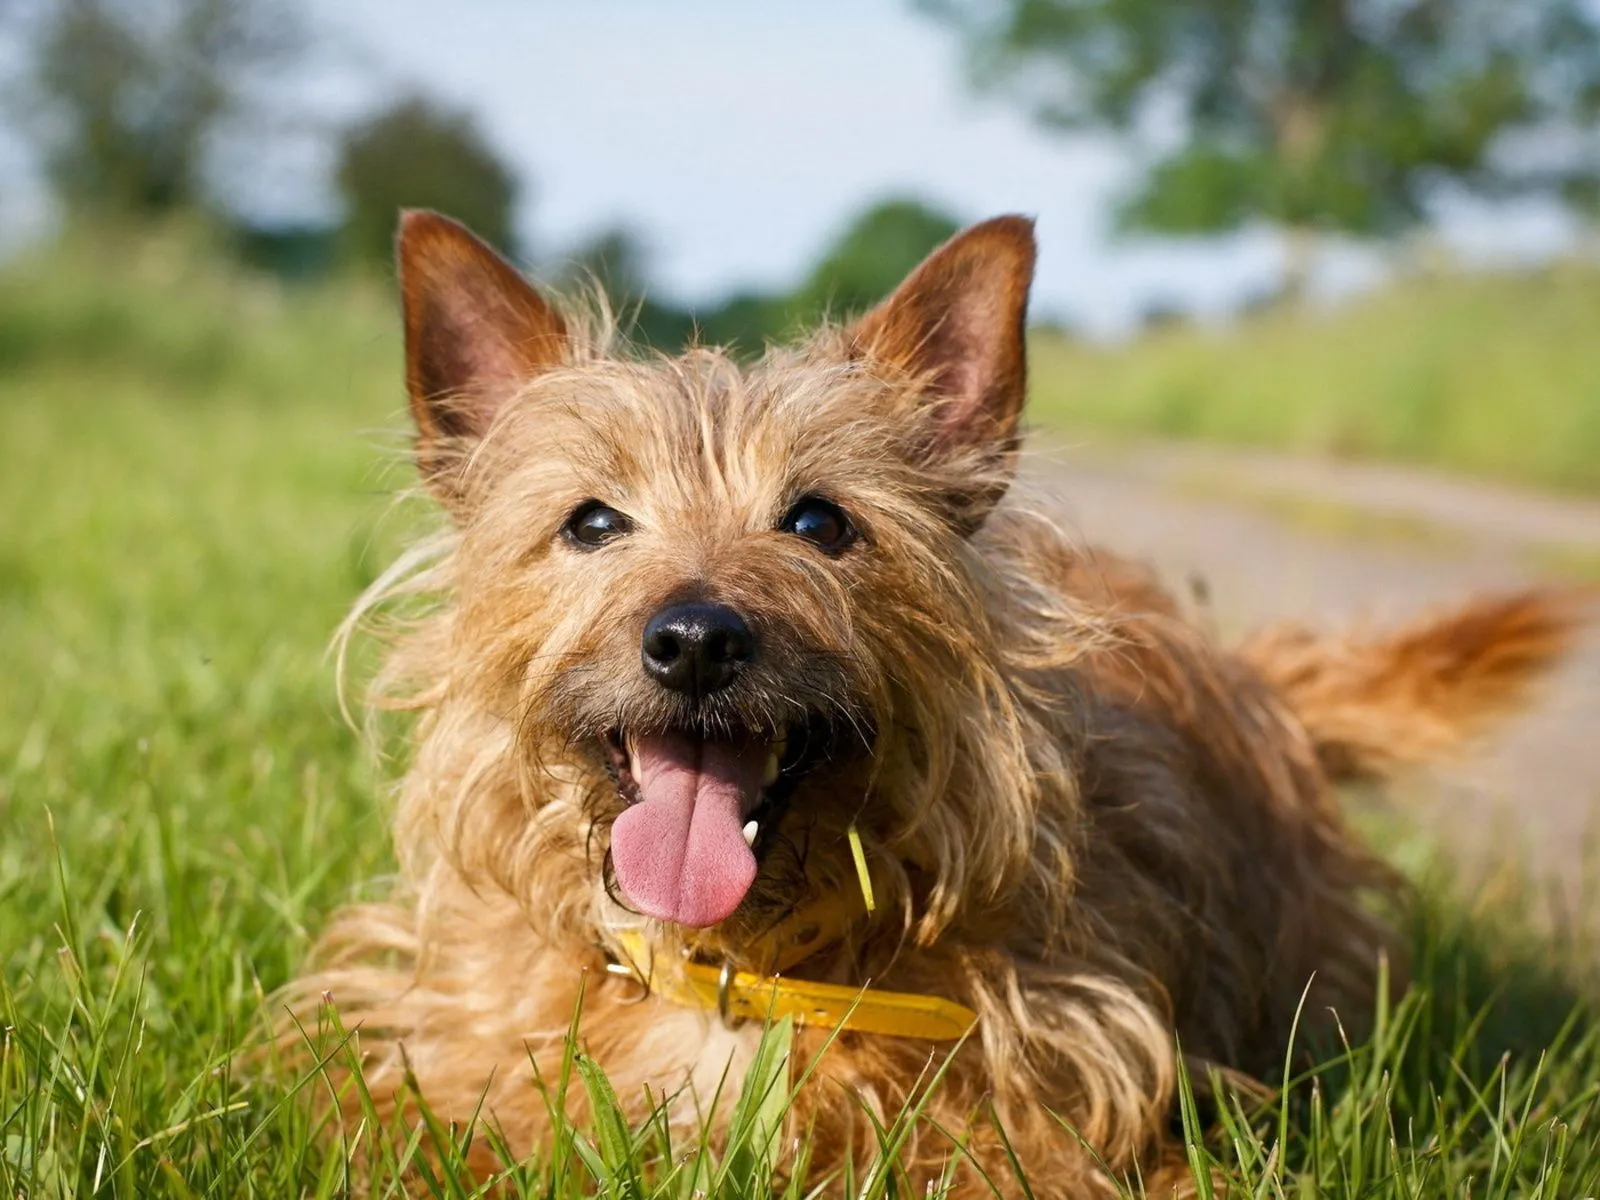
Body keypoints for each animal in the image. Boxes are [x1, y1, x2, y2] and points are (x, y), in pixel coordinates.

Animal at [291, 209, 1587, 1196]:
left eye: (819, 520)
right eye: (592, 521)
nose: (698, 640)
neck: (735, 968)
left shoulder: (1063, 1134)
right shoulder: (435, 1061)